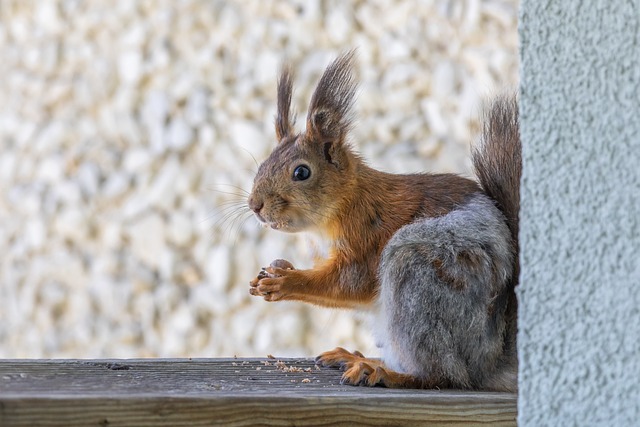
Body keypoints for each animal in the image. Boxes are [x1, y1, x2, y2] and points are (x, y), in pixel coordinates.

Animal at [246, 51, 520, 392]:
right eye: (264, 164)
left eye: (301, 172)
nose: (254, 205)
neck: (343, 206)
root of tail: (486, 363)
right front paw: (280, 266)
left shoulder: (367, 238)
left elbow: (349, 283)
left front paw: (285, 281)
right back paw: (358, 358)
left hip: (417, 273)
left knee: (442, 375)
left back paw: (384, 372)